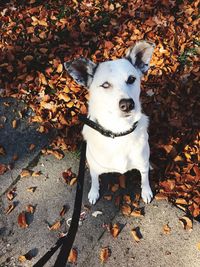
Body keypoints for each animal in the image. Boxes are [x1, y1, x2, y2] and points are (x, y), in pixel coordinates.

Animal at [64, 40, 155, 205]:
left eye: (131, 79)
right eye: (105, 85)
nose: (127, 104)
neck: (119, 132)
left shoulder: (142, 165)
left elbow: (144, 179)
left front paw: (146, 191)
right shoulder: (94, 168)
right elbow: (94, 180)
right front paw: (94, 192)